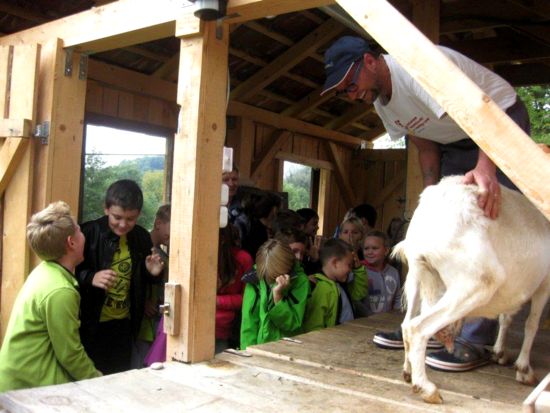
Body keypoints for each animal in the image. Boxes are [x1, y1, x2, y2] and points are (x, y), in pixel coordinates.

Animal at [394, 176, 550, 404]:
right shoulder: (544, 283)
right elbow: (532, 324)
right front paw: (524, 370)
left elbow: (507, 317)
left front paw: (500, 352)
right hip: (475, 283)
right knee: (418, 328)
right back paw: (427, 388)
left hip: (417, 276)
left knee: (406, 324)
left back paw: (408, 372)